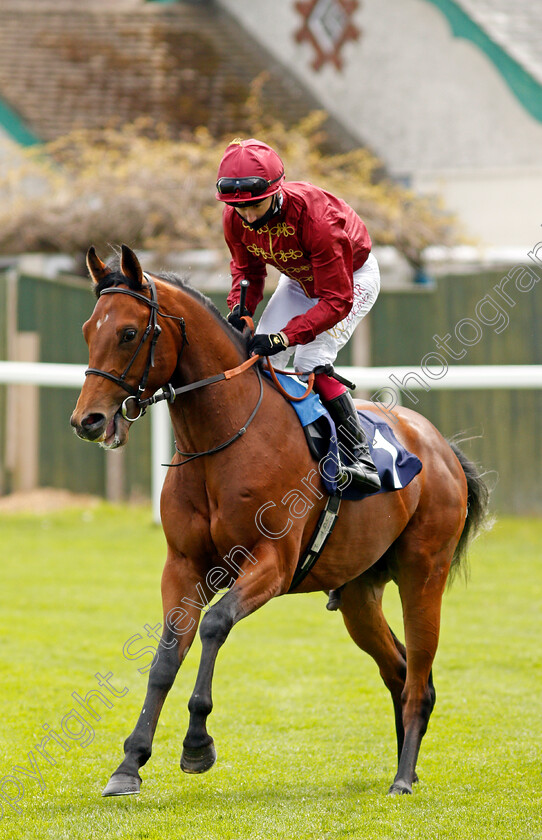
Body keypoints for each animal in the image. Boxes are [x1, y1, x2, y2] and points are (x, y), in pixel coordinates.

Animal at [70, 246, 490, 796]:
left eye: (128, 332)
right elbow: (166, 654)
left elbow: (215, 625)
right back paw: (409, 767)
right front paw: (129, 763)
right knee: (399, 671)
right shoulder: (182, 565)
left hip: (424, 574)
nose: (88, 421)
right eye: (87, 329)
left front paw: (197, 744)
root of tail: (440, 446)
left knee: (419, 676)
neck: (224, 439)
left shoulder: (272, 562)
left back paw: (402, 778)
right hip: (358, 594)